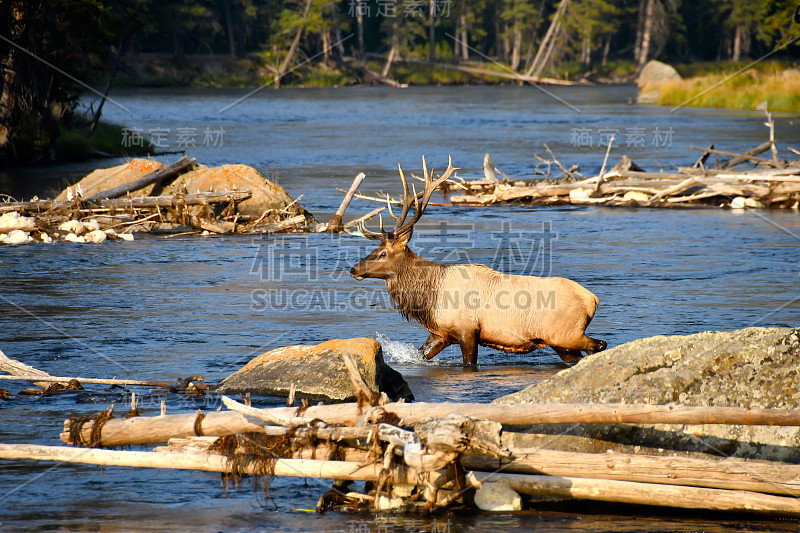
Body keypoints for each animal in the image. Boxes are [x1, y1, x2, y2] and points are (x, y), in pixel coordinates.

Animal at [350, 157, 608, 366]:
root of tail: (592, 299)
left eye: (383, 253)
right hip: (561, 342)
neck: (430, 297)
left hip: (565, 333)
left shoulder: (467, 330)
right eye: (375, 249)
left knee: (600, 345)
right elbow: (420, 354)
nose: (353, 269)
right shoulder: (441, 334)